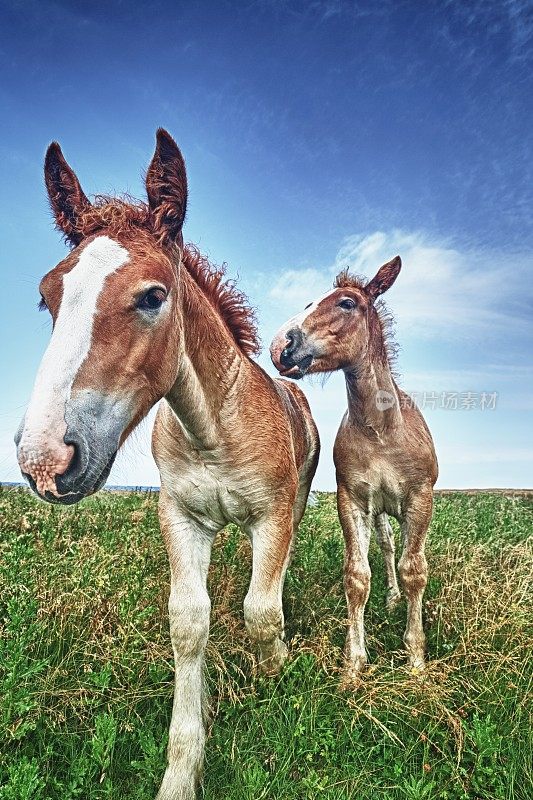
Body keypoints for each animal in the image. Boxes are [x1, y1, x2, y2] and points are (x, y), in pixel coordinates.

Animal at [14, 128, 318, 796]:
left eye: (153, 296)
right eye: (47, 298)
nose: (44, 458)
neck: (213, 429)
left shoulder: (272, 514)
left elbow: (261, 612)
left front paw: (275, 669)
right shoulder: (180, 517)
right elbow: (188, 622)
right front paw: (183, 768)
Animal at [270, 258, 436, 680]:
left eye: (347, 303)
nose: (281, 346)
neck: (381, 431)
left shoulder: (420, 500)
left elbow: (415, 571)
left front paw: (415, 658)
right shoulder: (353, 502)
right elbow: (358, 577)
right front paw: (354, 662)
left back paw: (395, 598)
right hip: (377, 512)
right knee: (386, 545)